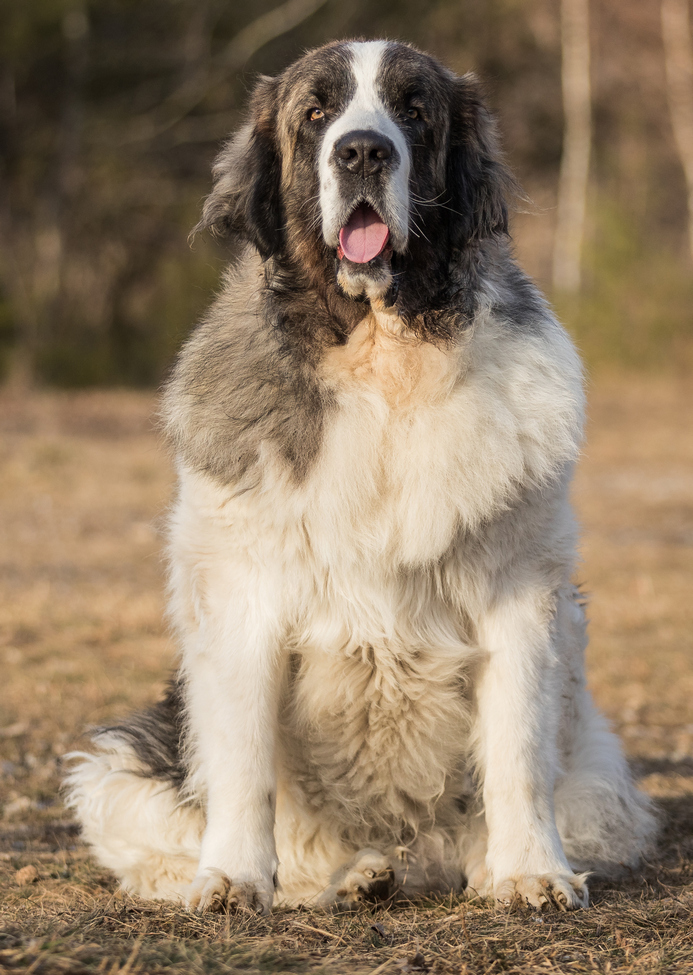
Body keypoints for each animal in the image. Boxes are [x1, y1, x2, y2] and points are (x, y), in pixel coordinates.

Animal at [67, 40, 656, 916]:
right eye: (316, 112)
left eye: (412, 109)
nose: (363, 152)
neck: (383, 360)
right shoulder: (238, 594)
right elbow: (243, 762)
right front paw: (233, 879)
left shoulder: (521, 592)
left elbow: (516, 747)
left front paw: (528, 871)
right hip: (121, 762)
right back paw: (340, 877)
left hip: (593, 760)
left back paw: (450, 866)